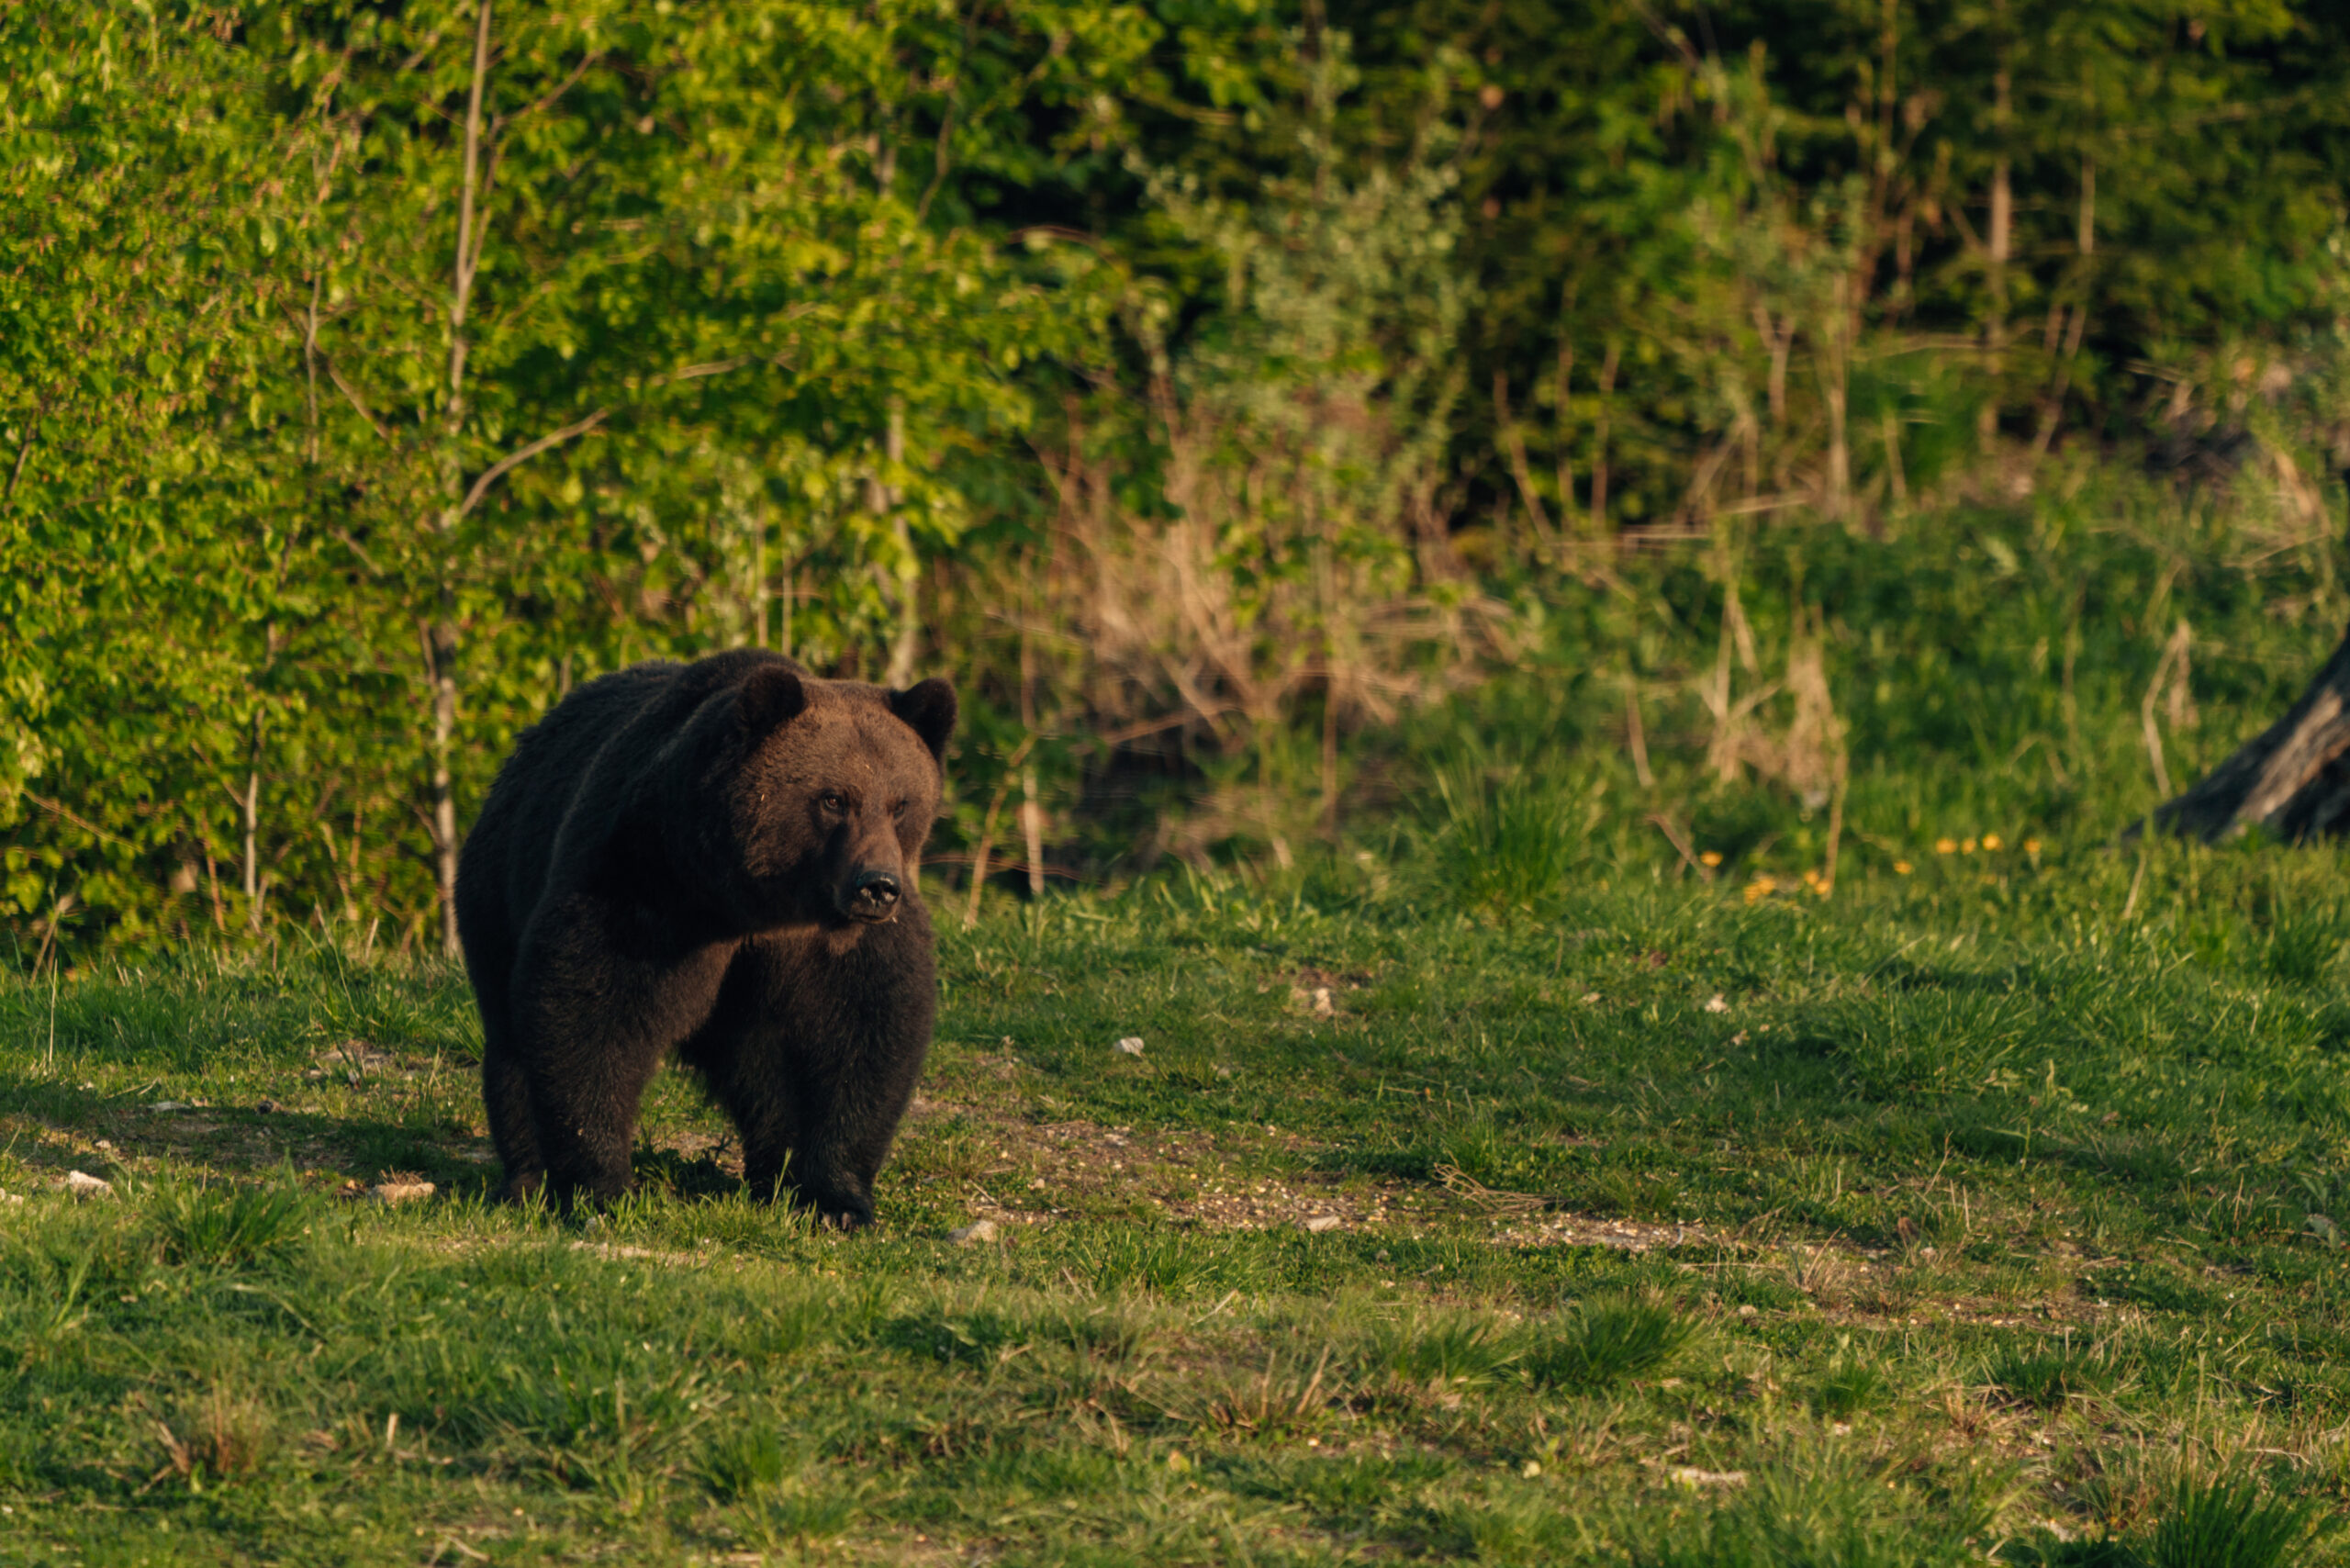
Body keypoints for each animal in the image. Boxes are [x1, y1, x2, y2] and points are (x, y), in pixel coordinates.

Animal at [458, 648, 954, 1222]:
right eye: (833, 799)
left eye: (900, 803)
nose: (877, 886)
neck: (759, 900)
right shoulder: (652, 883)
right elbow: (593, 1008)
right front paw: (601, 1184)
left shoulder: (830, 940)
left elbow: (864, 1028)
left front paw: (837, 1198)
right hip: (499, 884)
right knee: (512, 1036)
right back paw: (526, 1179)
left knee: (759, 1067)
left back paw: (773, 1169)